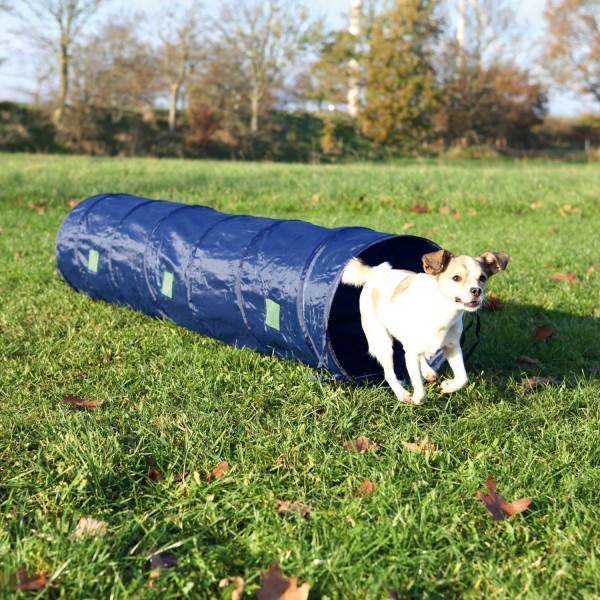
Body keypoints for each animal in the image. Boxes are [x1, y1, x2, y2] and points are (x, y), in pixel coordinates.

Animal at [344, 248, 508, 404]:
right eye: (456, 278)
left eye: (482, 278)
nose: (476, 290)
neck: (444, 312)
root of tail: (375, 273)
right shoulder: (410, 354)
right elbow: (420, 389)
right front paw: (417, 399)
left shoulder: (452, 347)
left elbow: (463, 378)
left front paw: (448, 386)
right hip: (382, 343)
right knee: (389, 374)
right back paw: (402, 394)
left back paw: (428, 371)